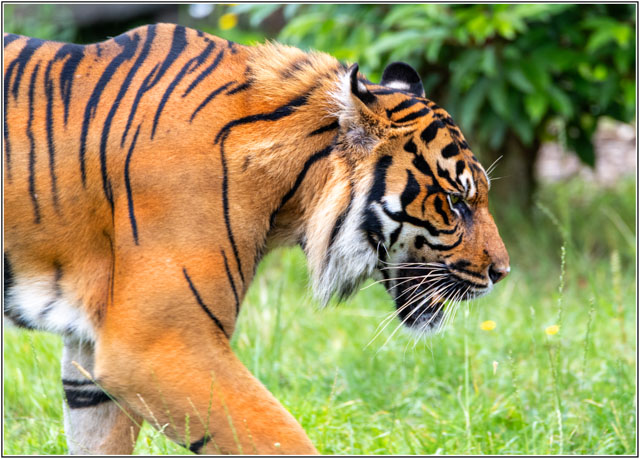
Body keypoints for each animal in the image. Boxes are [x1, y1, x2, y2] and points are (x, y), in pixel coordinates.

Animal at [3, 23, 509, 455]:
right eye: (455, 201)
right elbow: (279, 438)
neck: (290, 191)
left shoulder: (92, 358)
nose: (501, 272)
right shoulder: (158, 341)